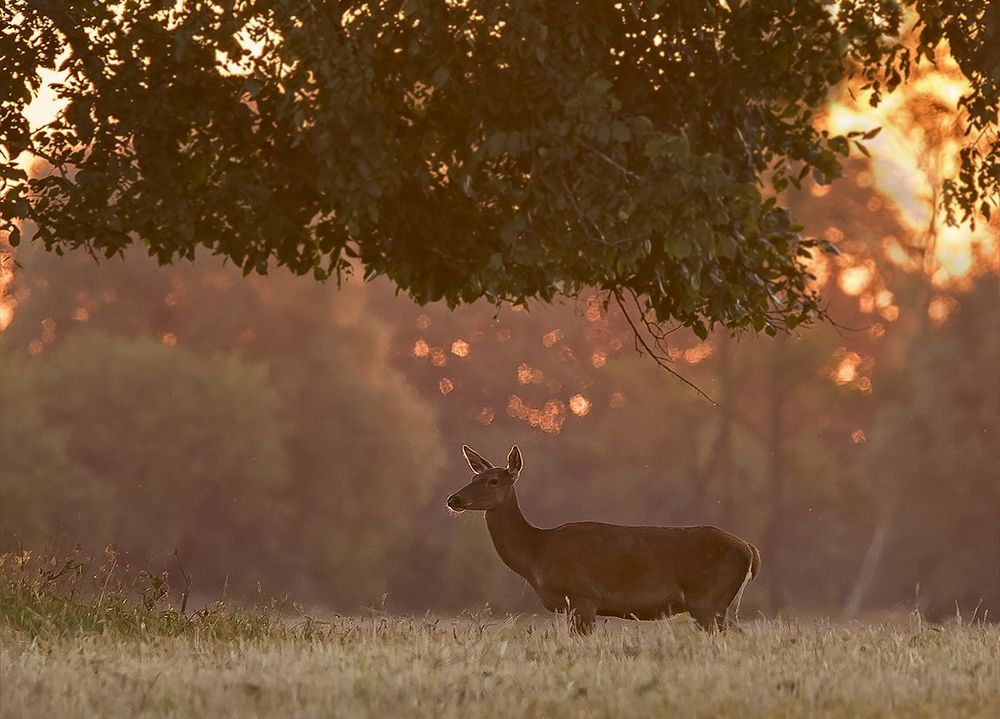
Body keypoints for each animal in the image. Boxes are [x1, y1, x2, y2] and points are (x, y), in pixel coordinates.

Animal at [446, 445, 761, 634]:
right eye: (473, 477)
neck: (537, 554)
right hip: (716, 604)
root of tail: (749, 549)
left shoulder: (584, 595)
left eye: (493, 481)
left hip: (709, 600)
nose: (454, 499)